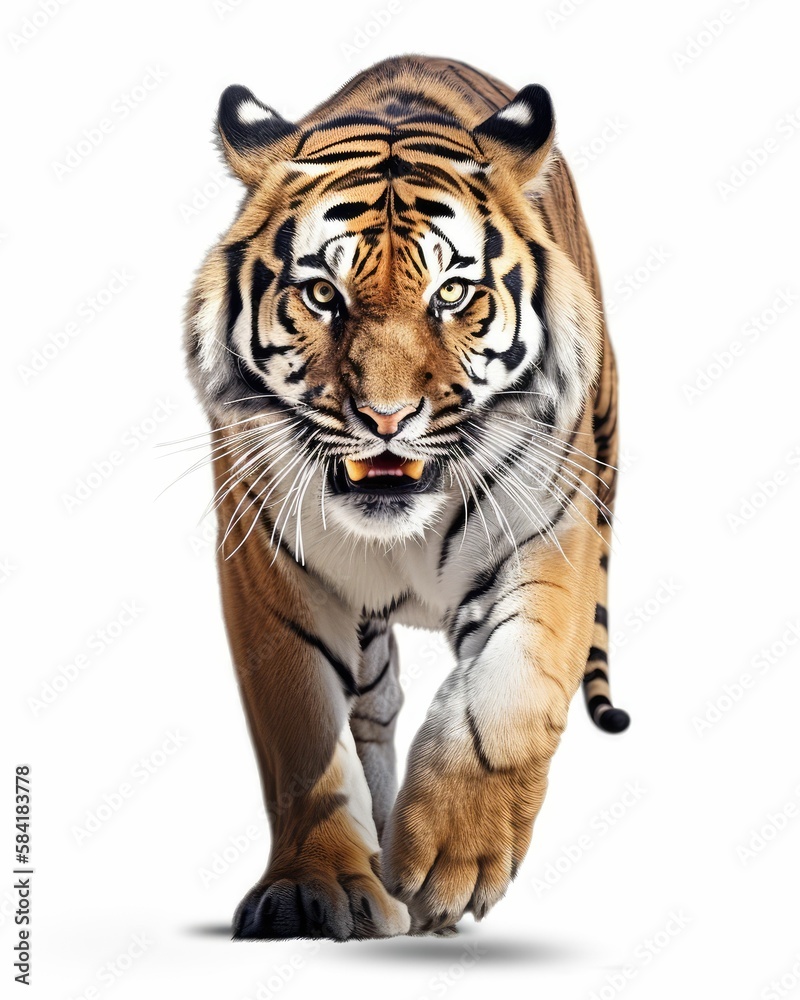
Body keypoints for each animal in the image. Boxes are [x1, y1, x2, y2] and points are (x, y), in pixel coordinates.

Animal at [184, 54, 630, 940]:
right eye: (323, 296)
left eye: (452, 295)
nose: (386, 418)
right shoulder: (264, 559)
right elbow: (302, 731)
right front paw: (316, 884)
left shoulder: (554, 534)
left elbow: (512, 694)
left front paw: (454, 856)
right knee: (372, 707)